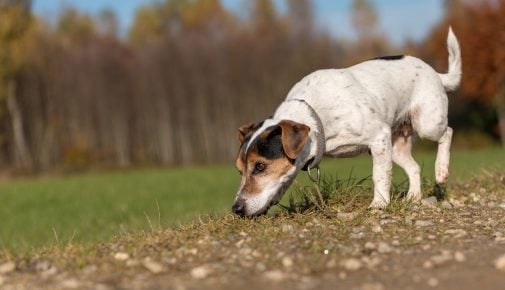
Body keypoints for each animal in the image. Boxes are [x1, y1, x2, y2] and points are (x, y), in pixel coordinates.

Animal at [232, 28, 460, 216]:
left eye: (260, 166)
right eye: (239, 170)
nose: (236, 209)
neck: (317, 117)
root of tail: (435, 73)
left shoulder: (378, 138)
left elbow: (380, 175)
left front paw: (379, 204)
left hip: (427, 123)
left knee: (448, 132)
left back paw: (441, 170)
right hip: (396, 146)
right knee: (414, 168)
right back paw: (413, 197)